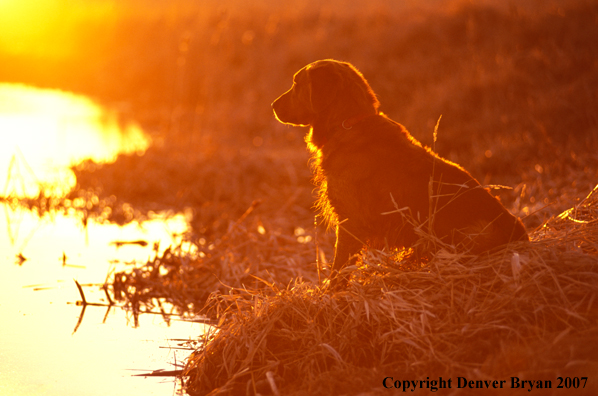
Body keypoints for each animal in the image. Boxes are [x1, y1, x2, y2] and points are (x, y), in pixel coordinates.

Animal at [272, 58, 528, 284]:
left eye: (296, 84)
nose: (272, 105)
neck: (347, 125)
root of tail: (522, 235)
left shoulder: (350, 223)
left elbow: (339, 268)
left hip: (474, 231)